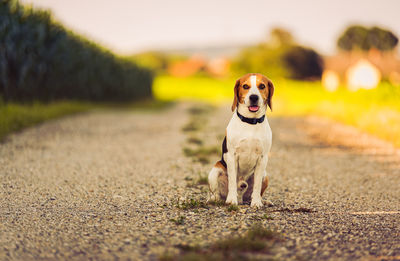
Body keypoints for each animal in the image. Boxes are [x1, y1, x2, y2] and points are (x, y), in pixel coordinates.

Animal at [208, 72, 274, 206]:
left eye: (262, 86)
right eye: (245, 86)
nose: (254, 97)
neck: (251, 122)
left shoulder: (262, 158)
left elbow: (257, 186)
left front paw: (256, 203)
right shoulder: (232, 156)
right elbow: (233, 181)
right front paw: (231, 200)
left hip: (265, 175)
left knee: (251, 193)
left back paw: (261, 200)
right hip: (215, 170)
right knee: (217, 193)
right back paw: (217, 199)